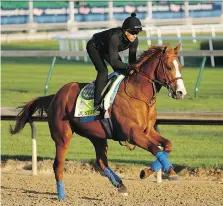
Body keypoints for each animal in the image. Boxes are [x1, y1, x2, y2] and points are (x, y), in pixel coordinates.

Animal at [9, 43, 186, 200]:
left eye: (180, 67)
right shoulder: (132, 134)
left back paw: (121, 185)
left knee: (101, 162)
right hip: (62, 136)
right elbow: (154, 148)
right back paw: (61, 195)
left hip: (97, 137)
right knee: (58, 164)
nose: (181, 92)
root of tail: (55, 96)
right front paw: (169, 171)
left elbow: (167, 145)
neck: (138, 93)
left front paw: (150, 171)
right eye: (169, 67)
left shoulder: (147, 131)